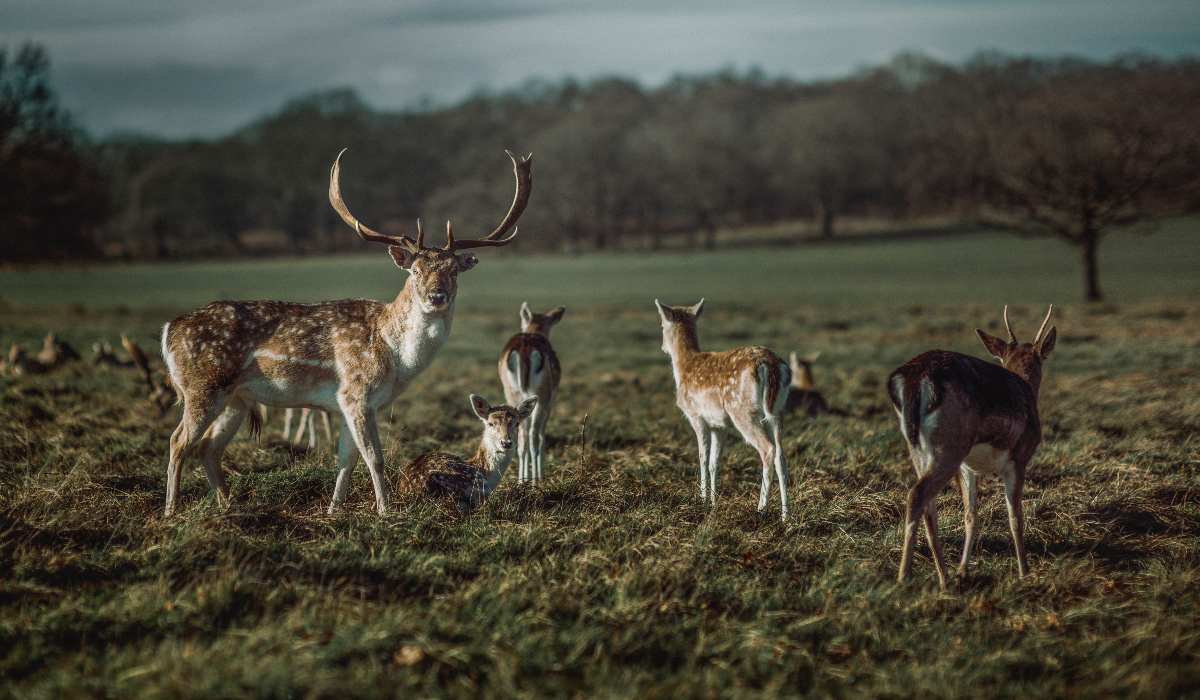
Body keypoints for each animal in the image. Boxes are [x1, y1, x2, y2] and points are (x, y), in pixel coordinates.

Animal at [501, 303, 566, 485]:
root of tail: (524, 350)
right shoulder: (549, 401)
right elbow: (542, 435)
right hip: (542, 396)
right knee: (534, 435)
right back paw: (537, 479)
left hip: (512, 394)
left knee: (521, 436)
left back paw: (521, 480)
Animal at [652, 300, 792, 521]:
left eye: (661, 325)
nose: (663, 347)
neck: (684, 367)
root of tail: (771, 366)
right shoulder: (719, 426)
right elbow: (714, 462)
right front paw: (713, 502)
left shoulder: (696, 416)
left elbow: (702, 458)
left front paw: (702, 500)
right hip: (778, 411)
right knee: (781, 455)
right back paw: (786, 516)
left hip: (742, 411)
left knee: (767, 449)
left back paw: (761, 509)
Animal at [888, 304, 1056, 585]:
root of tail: (913, 380)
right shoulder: (1019, 458)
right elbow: (1015, 516)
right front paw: (1024, 572)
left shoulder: (969, 468)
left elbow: (970, 515)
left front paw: (963, 569)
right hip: (950, 448)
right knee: (917, 494)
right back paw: (904, 576)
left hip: (919, 449)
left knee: (928, 506)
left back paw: (945, 576)